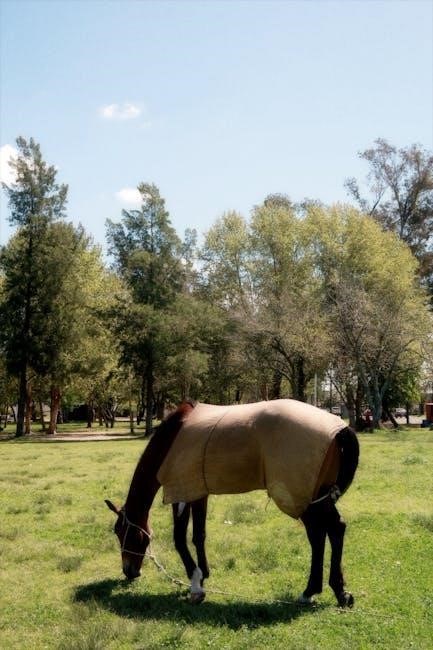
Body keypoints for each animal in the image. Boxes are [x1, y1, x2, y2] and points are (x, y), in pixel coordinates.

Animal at [105, 399, 359, 607]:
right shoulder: (198, 492)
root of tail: (340, 429)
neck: (172, 437)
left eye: (123, 531)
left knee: (322, 534)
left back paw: (312, 591)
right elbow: (198, 536)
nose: (129, 572)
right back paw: (338, 592)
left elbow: (179, 539)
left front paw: (195, 584)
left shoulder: (180, 493)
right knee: (332, 530)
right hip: (317, 498)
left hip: (302, 499)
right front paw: (203, 574)